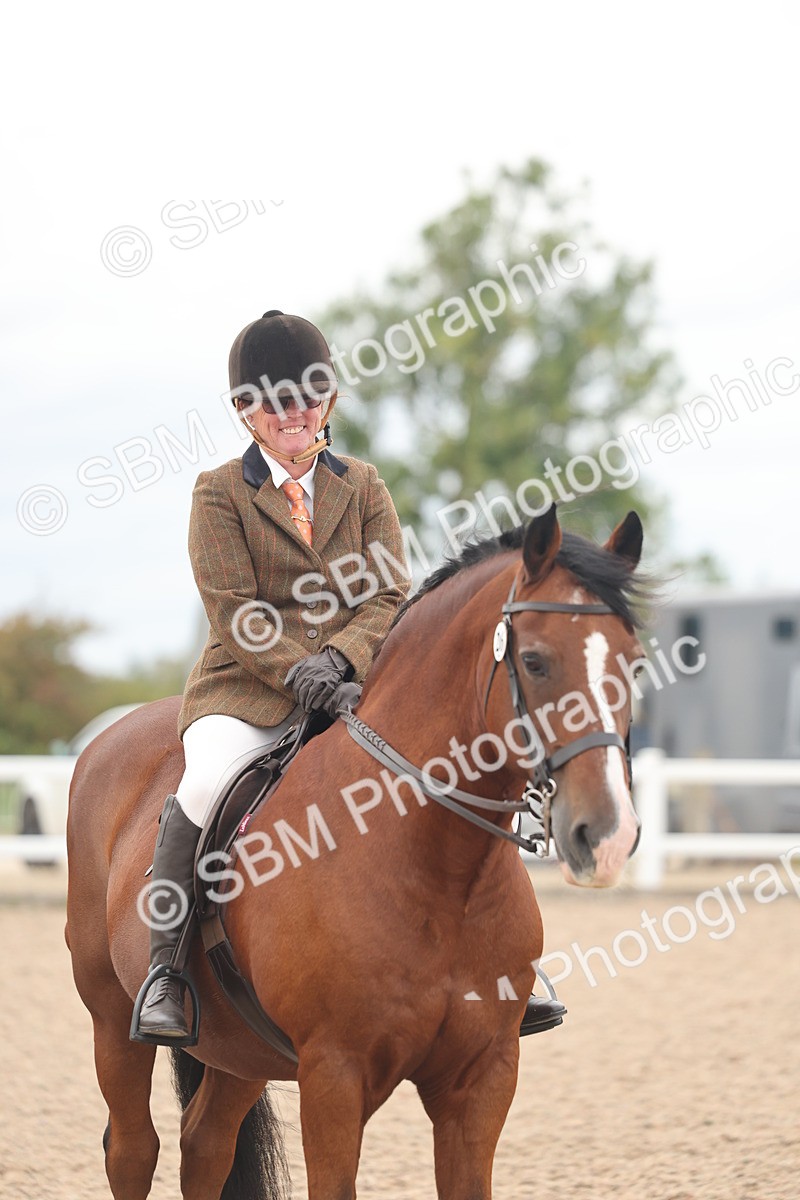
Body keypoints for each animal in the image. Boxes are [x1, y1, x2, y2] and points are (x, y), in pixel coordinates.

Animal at [66, 503, 653, 1200]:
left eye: (635, 664)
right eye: (534, 662)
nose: (608, 836)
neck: (438, 876)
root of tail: (111, 735)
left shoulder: (482, 1079)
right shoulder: (334, 1077)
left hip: (242, 1049)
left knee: (204, 1144)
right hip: (112, 1017)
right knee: (132, 1149)